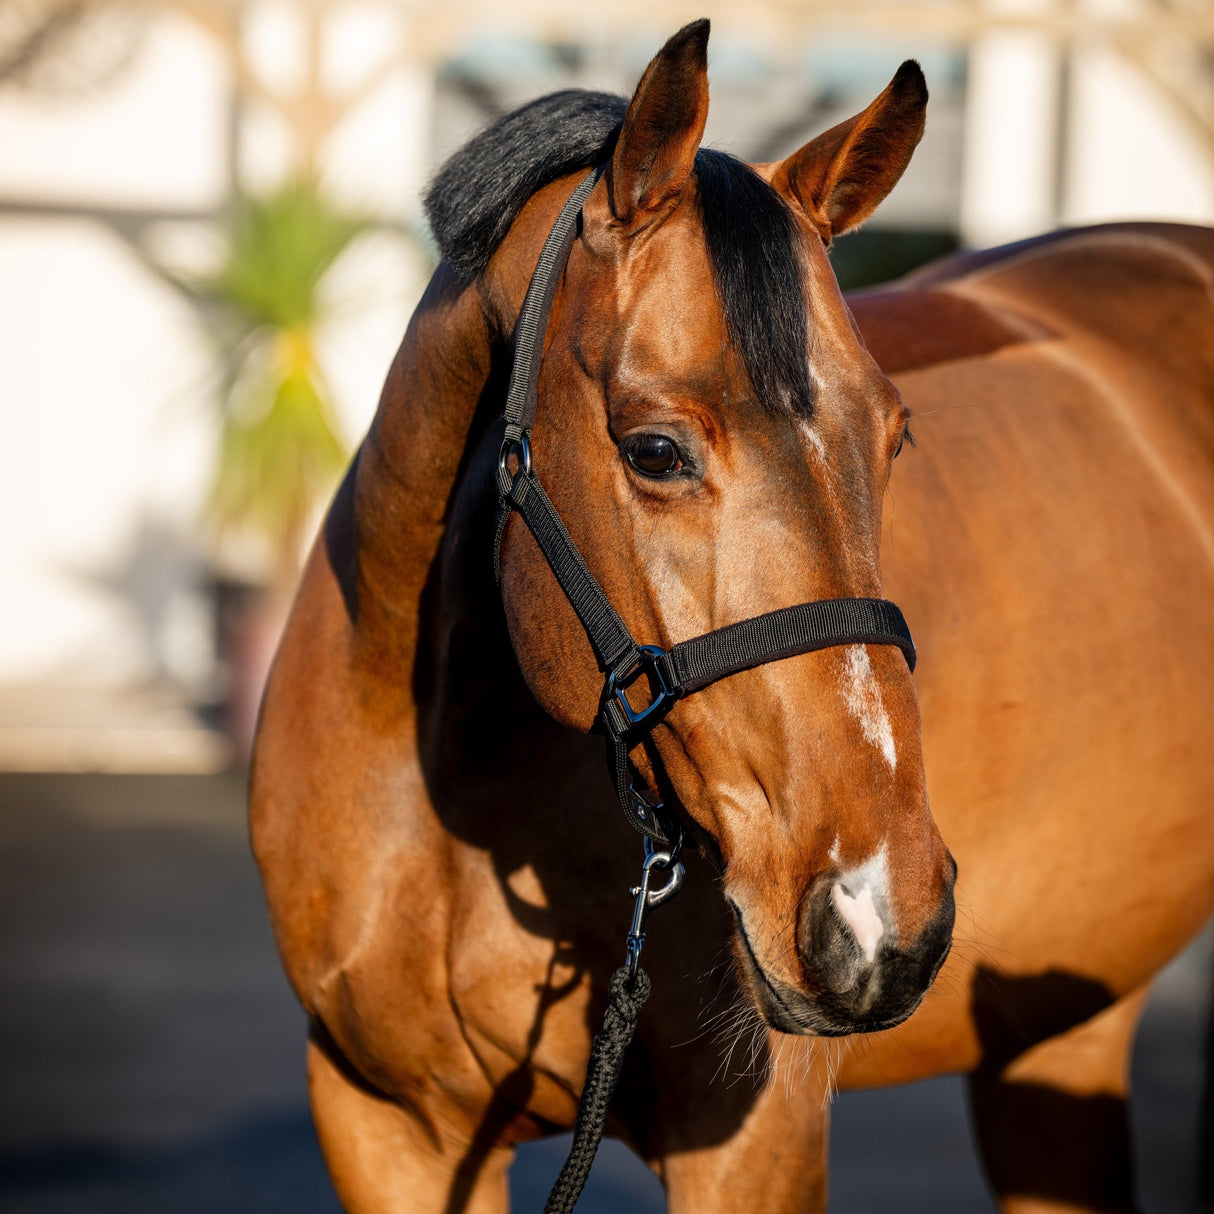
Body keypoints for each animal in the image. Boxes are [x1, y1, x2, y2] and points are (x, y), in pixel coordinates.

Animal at [251, 21, 1214, 1214]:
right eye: (656, 450)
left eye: (894, 434)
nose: (879, 919)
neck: (445, 785)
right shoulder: (384, 1123)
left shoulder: (756, 1142)